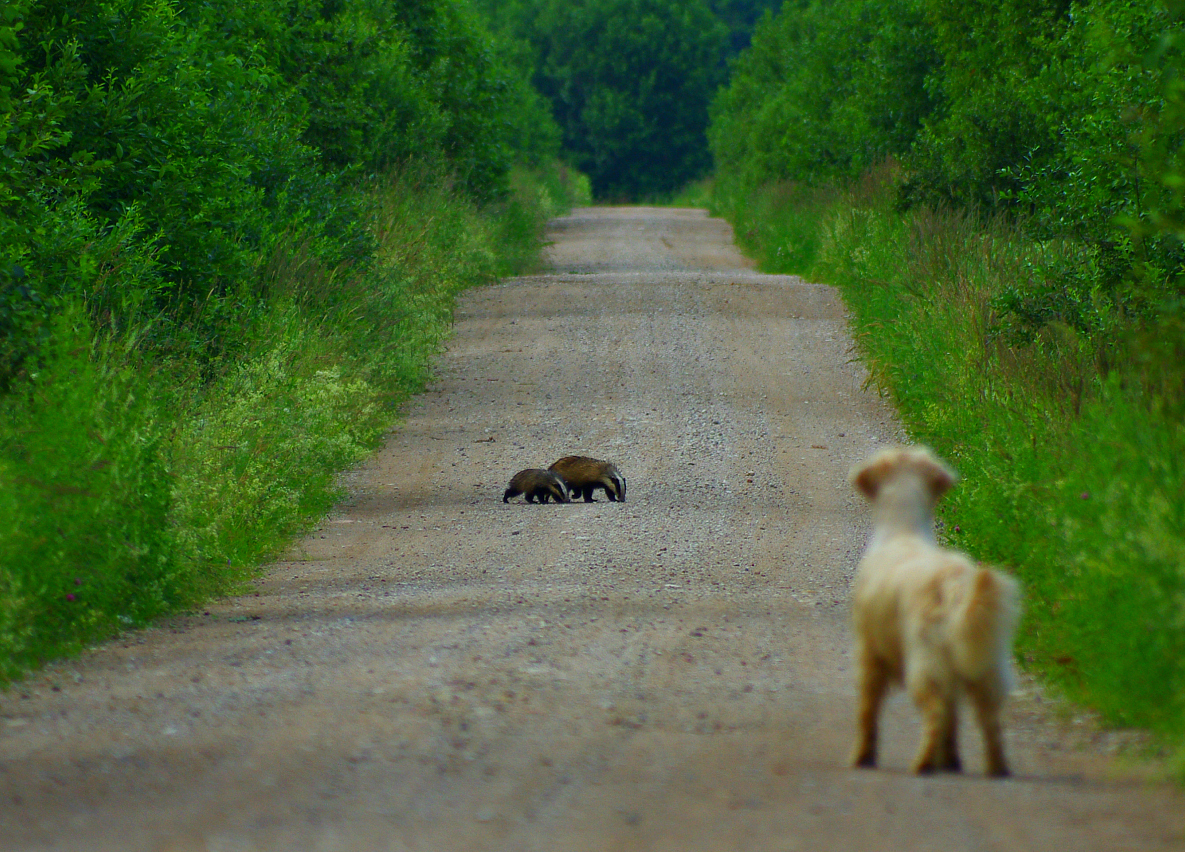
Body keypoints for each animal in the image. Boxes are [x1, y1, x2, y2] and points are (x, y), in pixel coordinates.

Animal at [848, 450, 1023, 777]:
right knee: (989, 721)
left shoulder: (869, 653)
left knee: (936, 713)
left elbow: (867, 712)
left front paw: (862, 757)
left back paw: (924, 763)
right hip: (985, 667)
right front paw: (952, 761)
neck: (902, 531)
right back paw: (995, 768)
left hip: (925, 662)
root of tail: (952, 582)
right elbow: (953, 724)